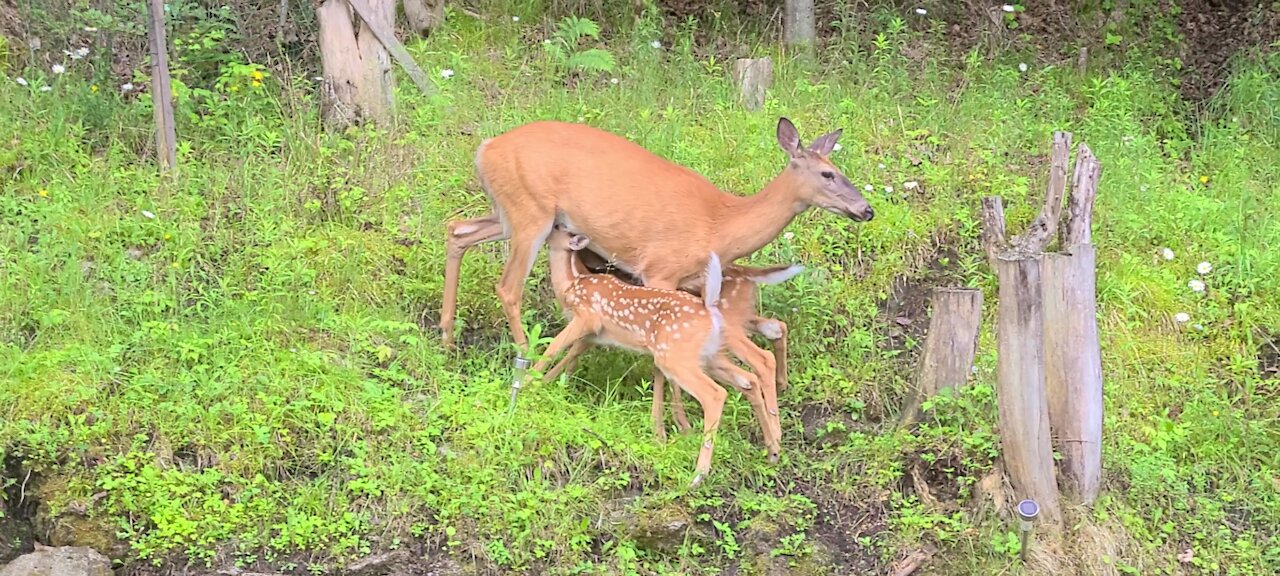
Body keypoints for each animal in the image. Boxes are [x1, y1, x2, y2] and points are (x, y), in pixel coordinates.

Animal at [437, 116, 870, 350]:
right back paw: (524, 352)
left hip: (508, 211)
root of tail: (485, 148)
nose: (867, 209)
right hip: (531, 213)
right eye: (828, 174)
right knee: (508, 286)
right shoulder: (660, 269)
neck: (722, 224)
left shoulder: (695, 280)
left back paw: (446, 337)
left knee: (457, 230)